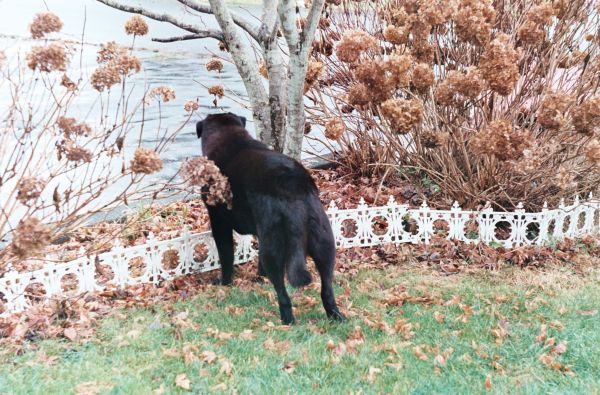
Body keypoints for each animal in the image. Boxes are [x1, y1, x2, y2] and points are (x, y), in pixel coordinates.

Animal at [197, 112, 344, 324]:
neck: (229, 137)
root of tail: (293, 186)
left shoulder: (219, 223)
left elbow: (226, 256)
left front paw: (224, 282)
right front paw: (260, 276)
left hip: (273, 247)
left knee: (282, 292)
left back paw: (287, 320)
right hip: (324, 241)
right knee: (327, 288)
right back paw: (335, 315)